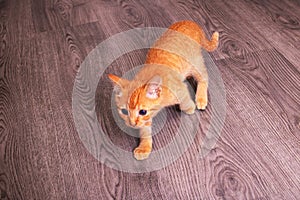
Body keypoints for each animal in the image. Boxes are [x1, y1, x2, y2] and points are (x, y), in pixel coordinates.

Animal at [108, 20, 218, 160]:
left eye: (142, 111)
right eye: (124, 111)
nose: (132, 123)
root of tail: (190, 22)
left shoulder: (180, 89)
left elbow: (185, 101)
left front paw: (189, 108)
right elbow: (145, 130)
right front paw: (144, 147)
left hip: (195, 62)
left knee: (203, 77)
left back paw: (201, 98)